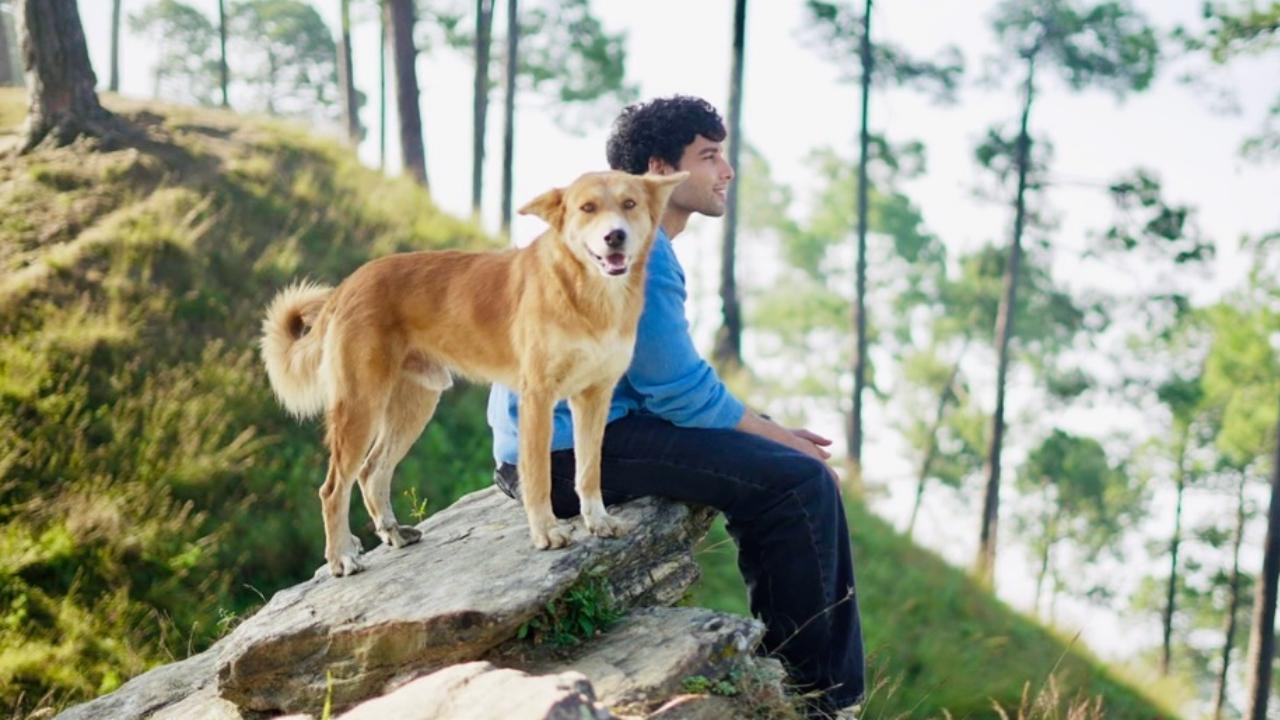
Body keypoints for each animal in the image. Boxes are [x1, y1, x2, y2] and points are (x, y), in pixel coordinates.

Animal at [258, 170, 691, 573]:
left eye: (629, 204)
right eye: (588, 208)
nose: (615, 236)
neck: (588, 294)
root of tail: (346, 285)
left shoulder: (594, 398)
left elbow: (589, 471)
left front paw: (597, 521)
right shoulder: (538, 398)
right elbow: (539, 479)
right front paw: (546, 532)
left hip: (414, 406)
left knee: (371, 472)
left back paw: (392, 532)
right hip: (360, 406)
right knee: (333, 488)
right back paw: (342, 557)